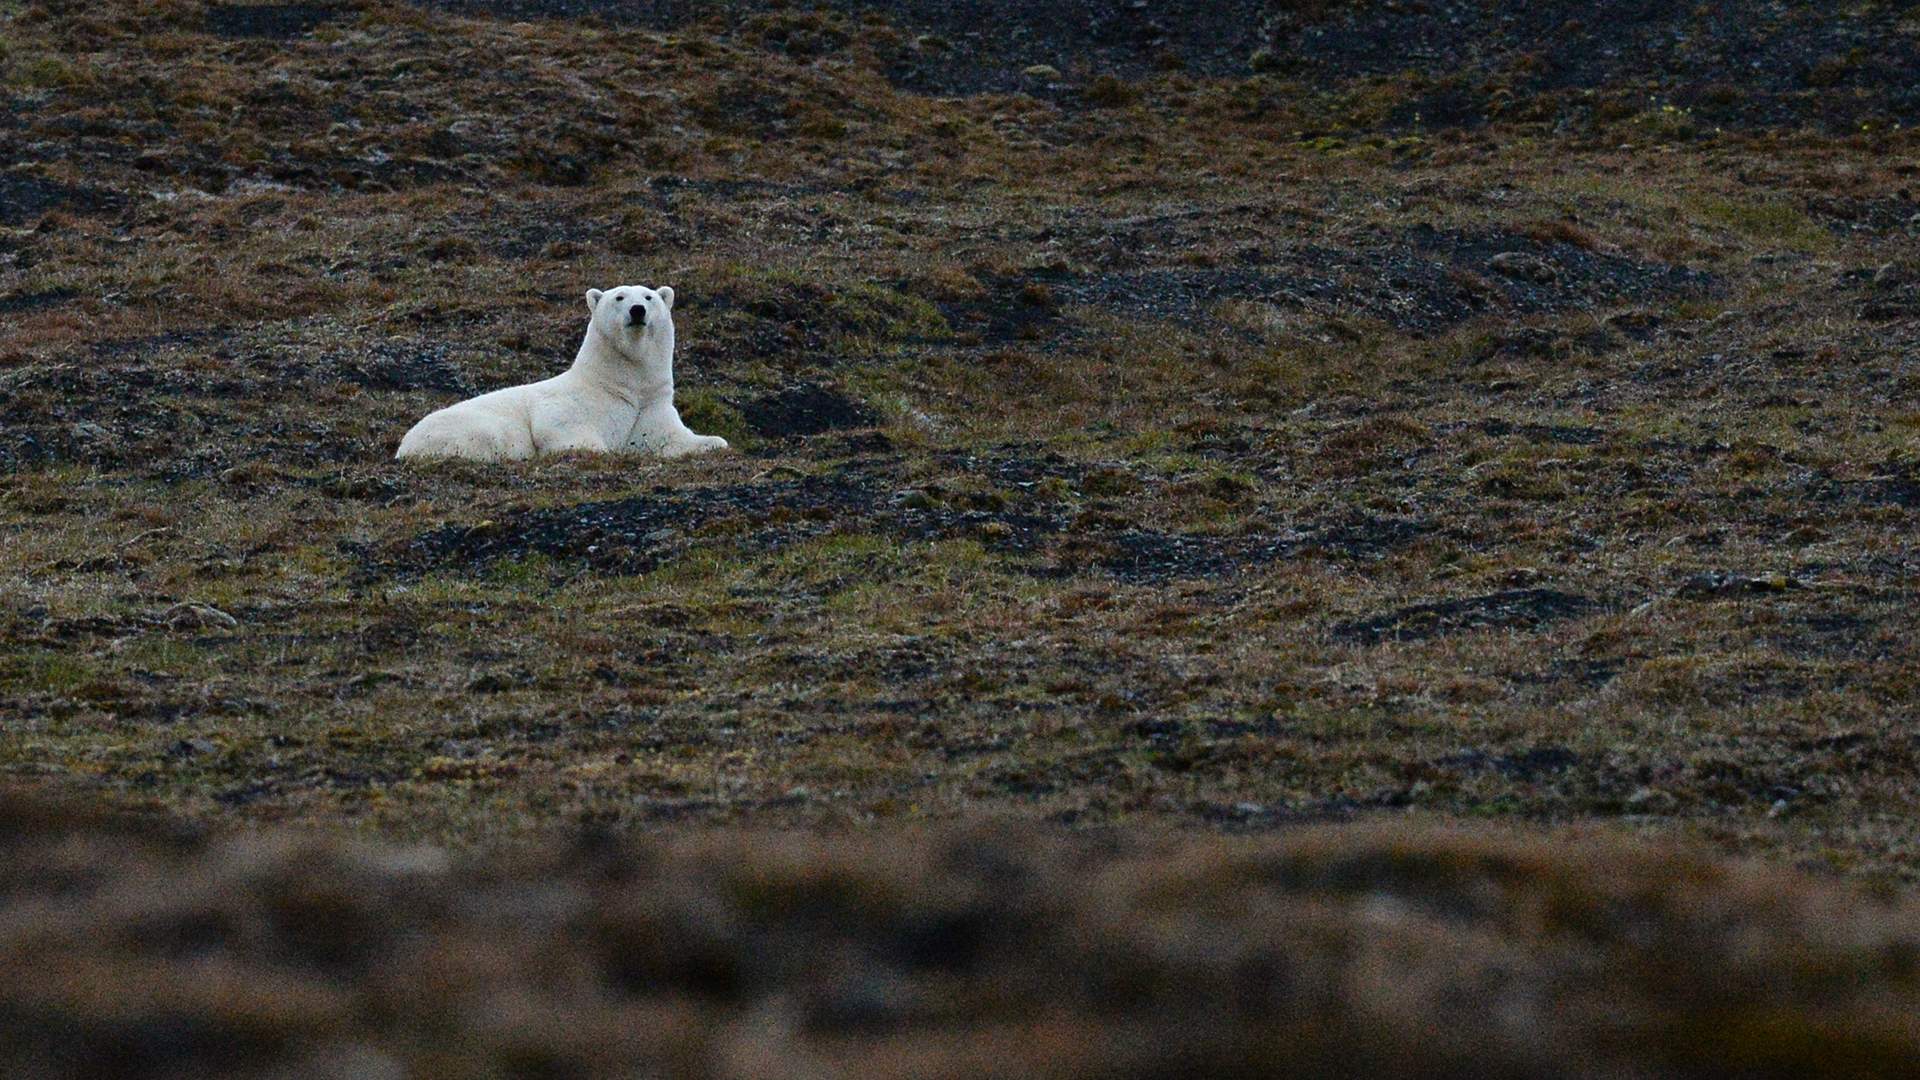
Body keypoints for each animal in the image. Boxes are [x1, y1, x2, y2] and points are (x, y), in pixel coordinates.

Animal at [389, 282, 725, 457]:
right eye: (619, 297)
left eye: (649, 297)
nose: (637, 310)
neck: (621, 383)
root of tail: (404, 445)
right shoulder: (570, 405)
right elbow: (560, 427)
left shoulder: (650, 405)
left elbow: (670, 437)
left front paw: (713, 442)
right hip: (463, 428)